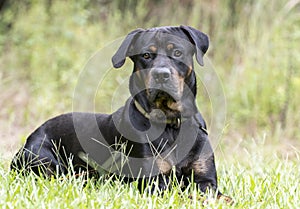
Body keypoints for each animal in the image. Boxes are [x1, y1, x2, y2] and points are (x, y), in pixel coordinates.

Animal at [11, 25, 232, 202]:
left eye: (177, 52)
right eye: (146, 55)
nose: (161, 75)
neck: (170, 123)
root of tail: (30, 136)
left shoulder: (205, 179)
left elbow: (215, 194)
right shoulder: (154, 183)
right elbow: (181, 194)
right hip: (44, 160)